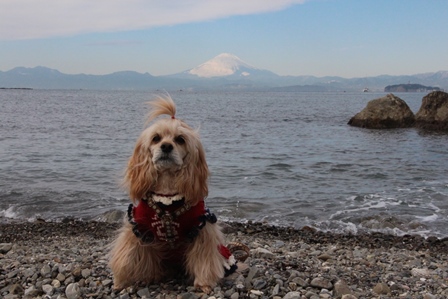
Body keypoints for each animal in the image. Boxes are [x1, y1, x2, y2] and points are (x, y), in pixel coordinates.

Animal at [109, 95, 236, 294]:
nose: (167, 146)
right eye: (156, 138)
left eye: (180, 139)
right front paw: (121, 281)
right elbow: (126, 258)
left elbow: (204, 260)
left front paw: (204, 283)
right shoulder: (137, 231)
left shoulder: (202, 230)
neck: (167, 197)